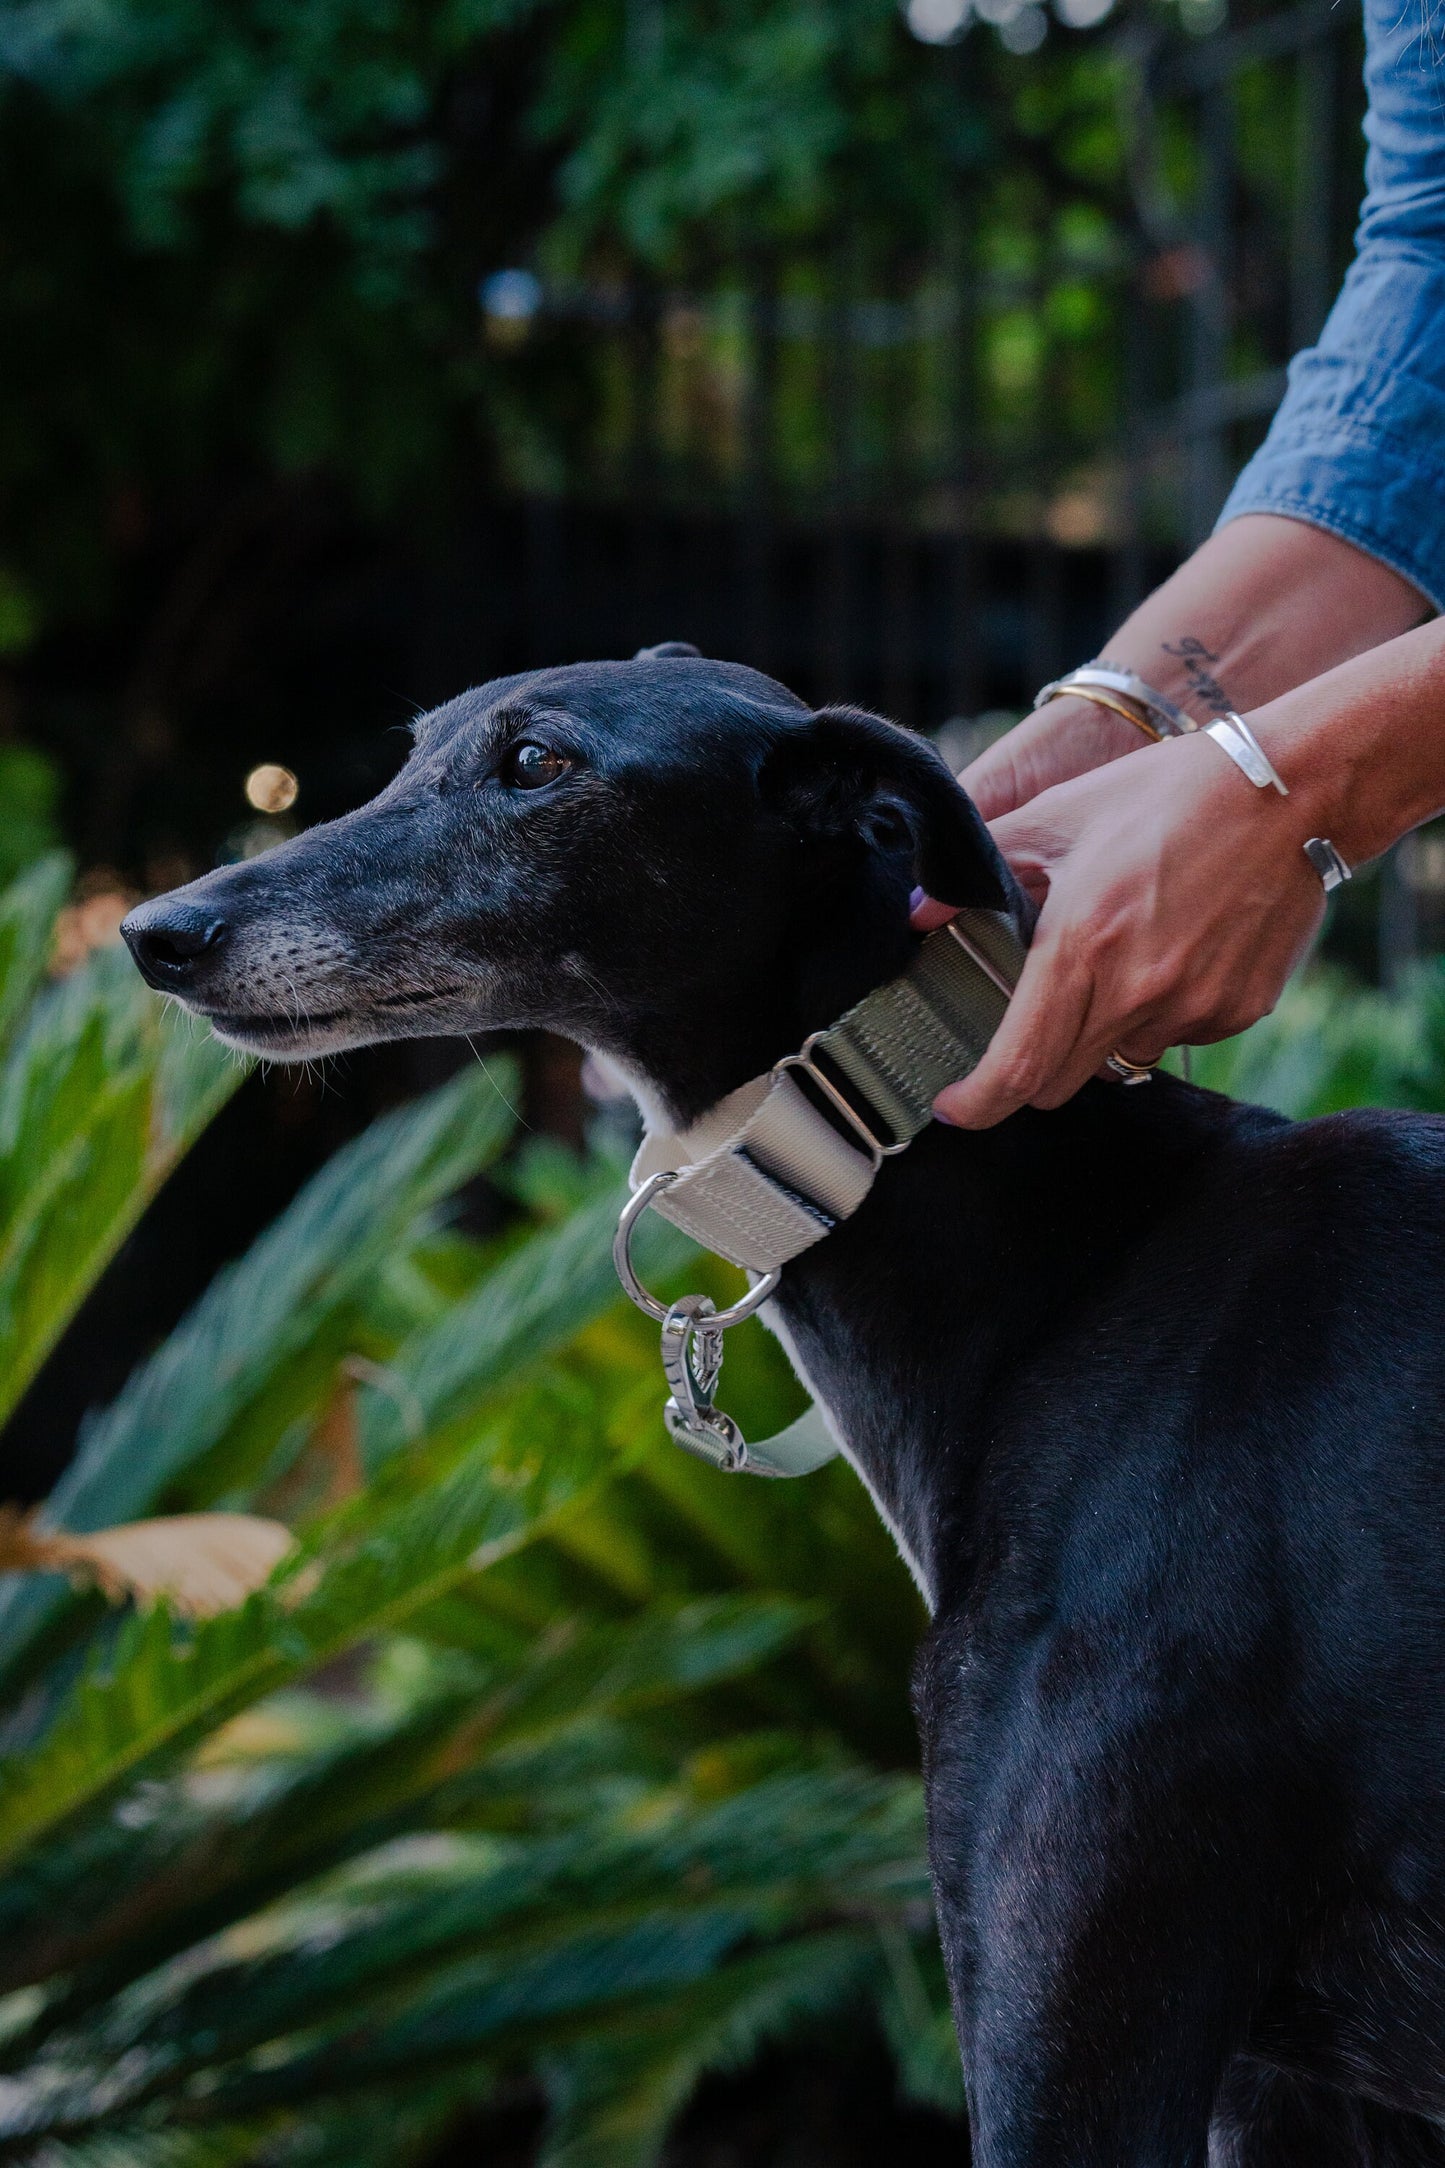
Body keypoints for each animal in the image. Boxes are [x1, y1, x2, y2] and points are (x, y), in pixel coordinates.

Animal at [118, 650, 1445, 2159]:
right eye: (412, 749)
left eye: (537, 763)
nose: (159, 931)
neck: (1081, 1262)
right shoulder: (1287, 2094)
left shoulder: (1079, 2024)